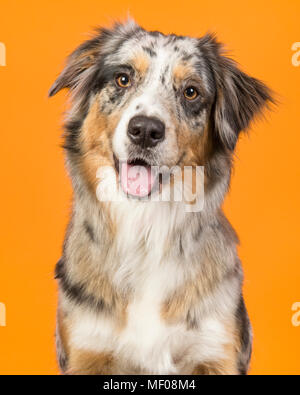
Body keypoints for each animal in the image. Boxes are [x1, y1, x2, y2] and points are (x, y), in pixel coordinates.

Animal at [49, 19, 274, 378]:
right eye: (123, 78)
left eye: (191, 91)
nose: (144, 130)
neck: (145, 228)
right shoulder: (87, 351)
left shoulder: (215, 351)